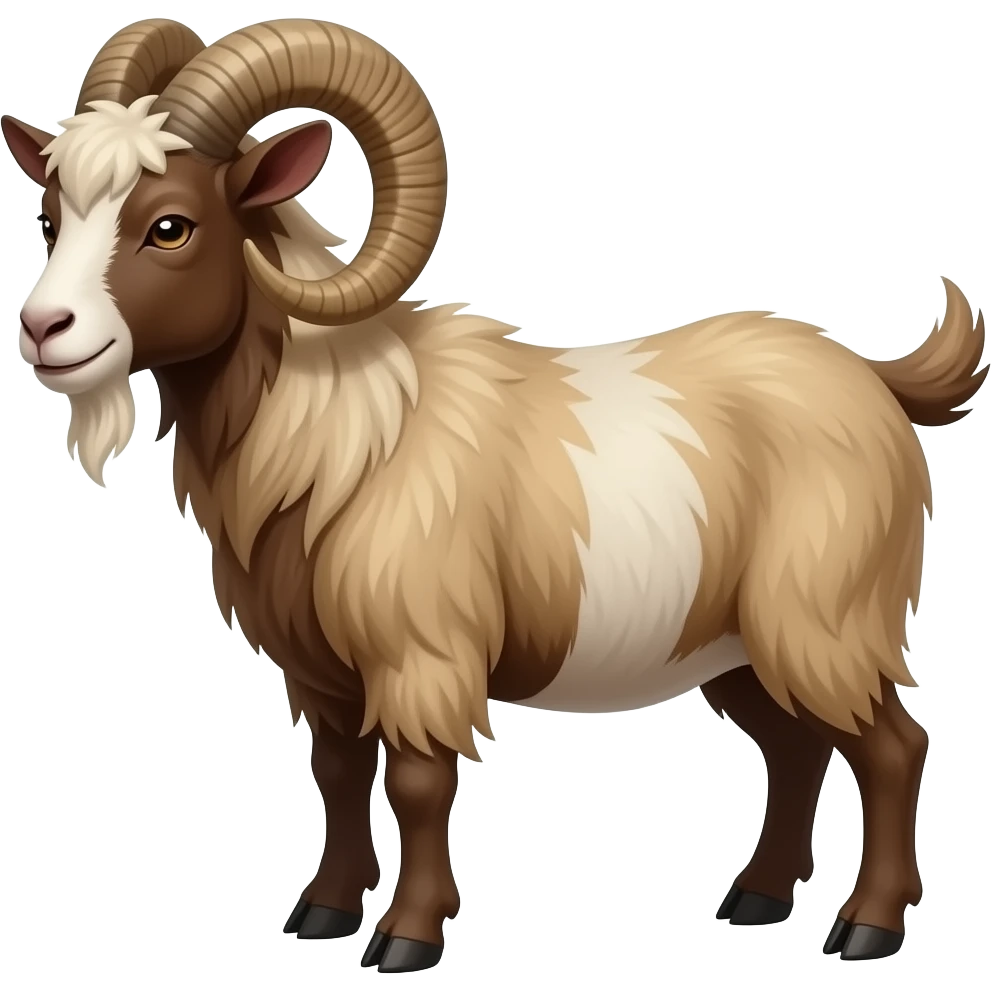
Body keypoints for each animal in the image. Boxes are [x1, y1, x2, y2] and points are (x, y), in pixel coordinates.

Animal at [3, 17, 985, 974]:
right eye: (52, 214)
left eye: (171, 225)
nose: (44, 329)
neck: (346, 436)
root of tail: (878, 383)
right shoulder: (323, 676)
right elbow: (339, 773)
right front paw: (324, 913)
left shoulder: (422, 660)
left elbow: (418, 784)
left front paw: (407, 937)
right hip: (739, 647)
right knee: (797, 747)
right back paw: (757, 900)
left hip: (824, 621)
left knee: (893, 748)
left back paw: (867, 928)